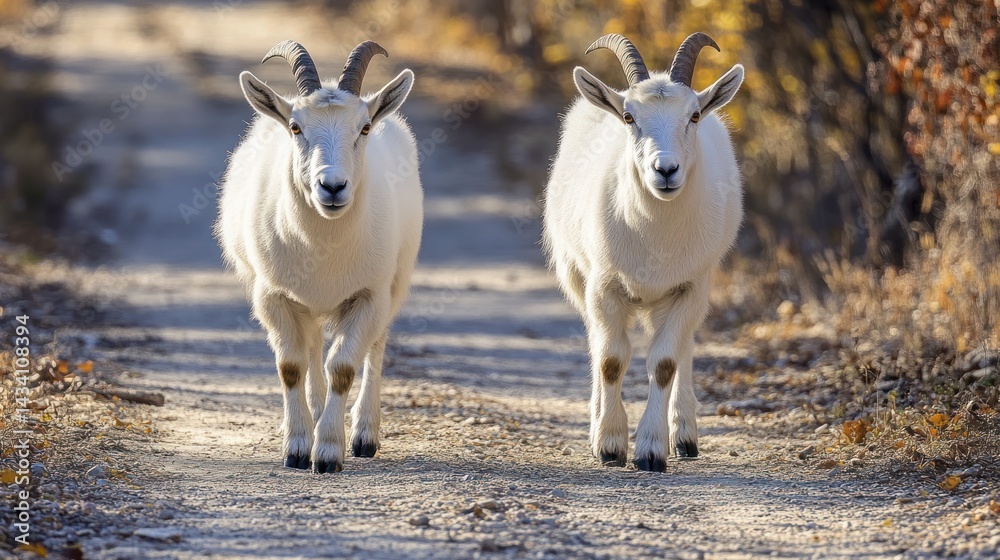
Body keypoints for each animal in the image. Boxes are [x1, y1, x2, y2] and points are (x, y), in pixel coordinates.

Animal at [215, 40, 422, 473]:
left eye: (364, 127)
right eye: (296, 127)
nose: (332, 187)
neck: (324, 250)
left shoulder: (370, 294)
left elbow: (343, 367)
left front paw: (328, 452)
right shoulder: (273, 295)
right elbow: (291, 366)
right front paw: (297, 447)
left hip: (395, 281)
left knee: (375, 346)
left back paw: (364, 435)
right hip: (304, 302)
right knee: (310, 349)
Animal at [543, 33, 744, 471]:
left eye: (694, 115)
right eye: (629, 116)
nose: (664, 170)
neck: (655, 239)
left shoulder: (689, 287)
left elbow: (665, 363)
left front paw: (651, 450)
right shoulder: (603, 286)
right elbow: (611, 360)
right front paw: (609, 444)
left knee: (683, 347)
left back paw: (684, 437)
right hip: (577, 276)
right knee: (597, 342)